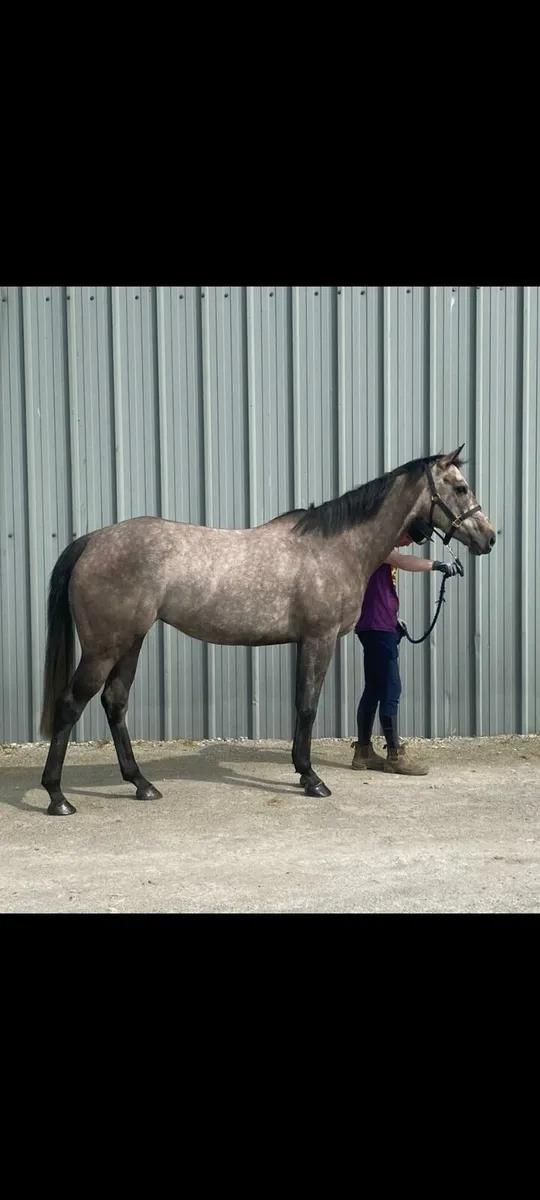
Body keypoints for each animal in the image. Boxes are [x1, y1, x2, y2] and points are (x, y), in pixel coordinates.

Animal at [39, 446, 496, 815]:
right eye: (460, 488)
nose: (489, 538)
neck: (334, 548)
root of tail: (91, 541)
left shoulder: (304, 643)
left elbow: (301, 705)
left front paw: (304, 771)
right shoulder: (318, 640)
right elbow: (308, 707)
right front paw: (312, 779)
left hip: (130, 642)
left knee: (114, 703)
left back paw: (141, 784)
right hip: (104, 649)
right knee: (70, 705)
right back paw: (58, 797)